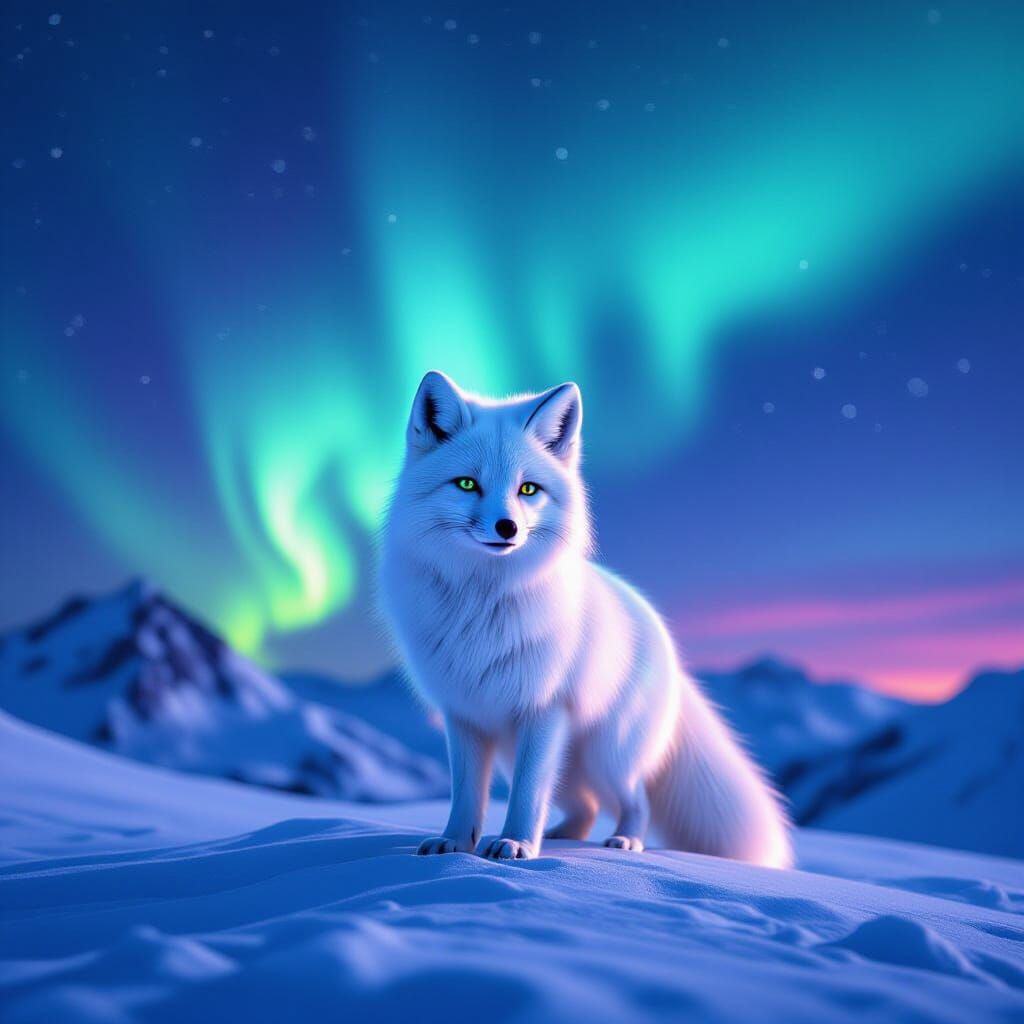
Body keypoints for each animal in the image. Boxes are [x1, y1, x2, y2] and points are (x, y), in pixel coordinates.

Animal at [379, 371, 792, 868]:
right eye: (465, 484)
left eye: (528, 489)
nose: (507, 528)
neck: (482, 603)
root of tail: (663, 639)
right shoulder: (464, 715)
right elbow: (466, 796)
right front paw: (456, 845)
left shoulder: (545, 709)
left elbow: (527, 794)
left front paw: (516, 845)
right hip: (542, 759)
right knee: (585, 807)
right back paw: (559, 837)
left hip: (606, 755)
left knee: (636, 799)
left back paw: (623, 841)